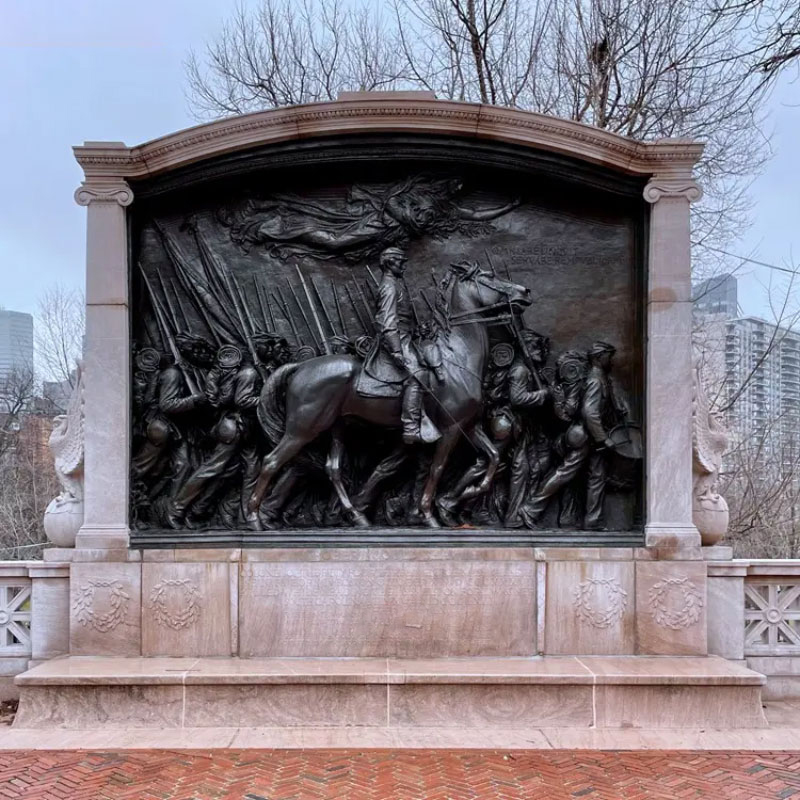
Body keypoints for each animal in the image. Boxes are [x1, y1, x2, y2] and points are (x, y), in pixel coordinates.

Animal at [244, 260, 532, 528]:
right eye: (490, 276)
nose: (525, 291)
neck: (457, 356)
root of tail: (300, 367)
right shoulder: (451, 429)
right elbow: (437, 469)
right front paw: (429, 515)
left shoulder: (469, 425)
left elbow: (493, 456)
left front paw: (465, 495)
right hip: (303, 429)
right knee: (271, 462)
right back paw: (254, 518)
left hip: (336, 427)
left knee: (332, 469)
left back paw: (357, 516)